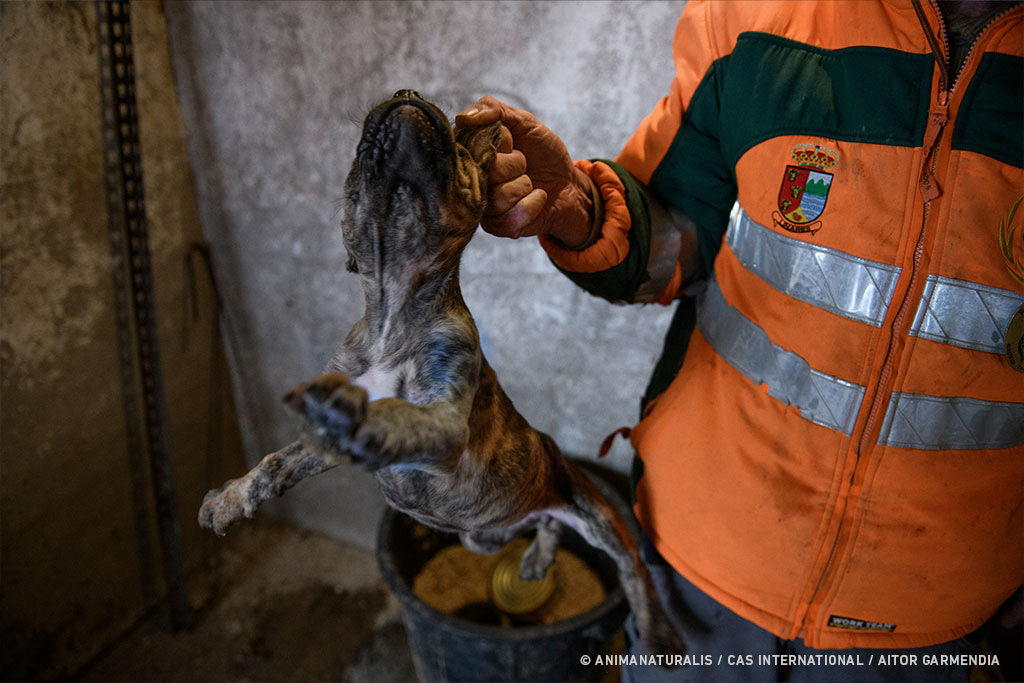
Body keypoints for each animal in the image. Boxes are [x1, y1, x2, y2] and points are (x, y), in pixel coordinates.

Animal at [195, 89, 684, 655]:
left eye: (458, 144)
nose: (406, 93)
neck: (394, 311)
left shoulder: (445, 415)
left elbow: (397, 414)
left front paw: (358, 415)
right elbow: (276, 463)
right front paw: (229, 500)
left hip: (596, 514)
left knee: (631, 572)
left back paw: (656, 631)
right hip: (484, 532)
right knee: (541, 525)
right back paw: (536, 557)